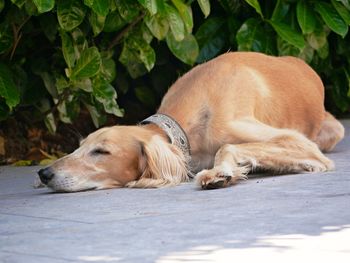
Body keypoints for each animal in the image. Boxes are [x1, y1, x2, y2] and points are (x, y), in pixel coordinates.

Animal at [37, 52, 344, 192]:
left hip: (334, 130)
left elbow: (227, 147)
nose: (44, 174)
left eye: (101, 151)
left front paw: (220, 172)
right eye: (78, 147)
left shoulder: (301, 144)